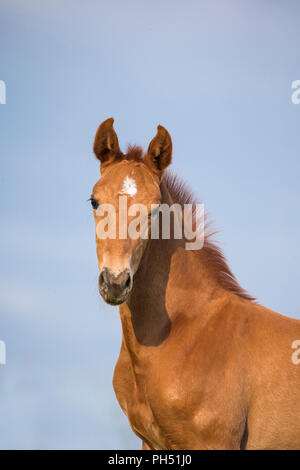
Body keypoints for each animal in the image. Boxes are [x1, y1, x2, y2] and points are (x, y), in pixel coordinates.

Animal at [91, 116, 300, 448]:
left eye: (154, 210)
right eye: (94, 202)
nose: (114, 282)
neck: (187, 328)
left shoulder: (213, 441)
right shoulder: (149, 442)